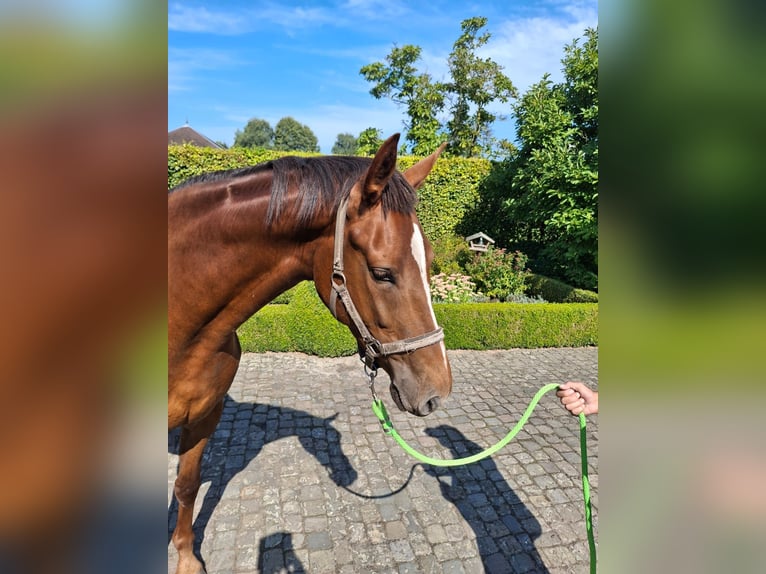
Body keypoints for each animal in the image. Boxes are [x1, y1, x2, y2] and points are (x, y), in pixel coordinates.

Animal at [168, 135, 452, 574]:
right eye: (382, 273)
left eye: (431, 262)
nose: (437, 390)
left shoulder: (203, 416)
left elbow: (186, 485)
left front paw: (185, 559)